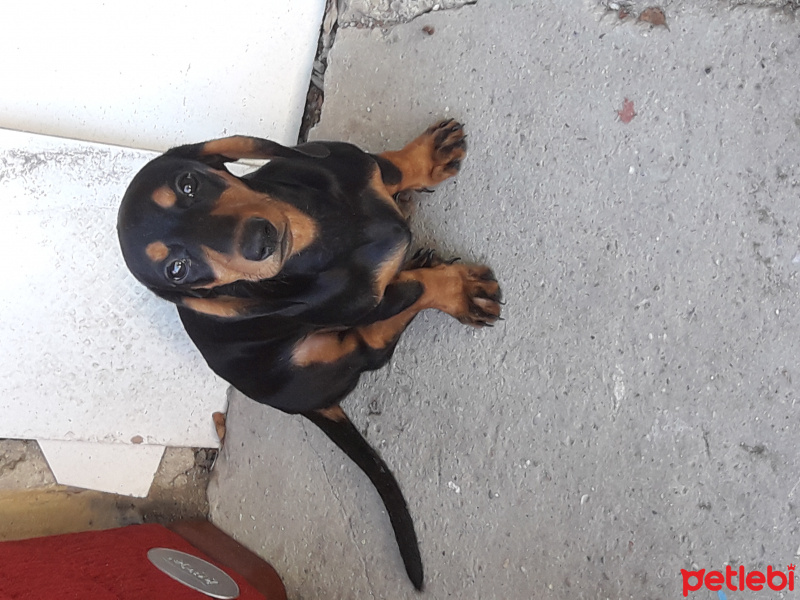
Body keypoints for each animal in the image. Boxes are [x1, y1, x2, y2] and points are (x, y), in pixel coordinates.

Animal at [115, 119, 504, 588]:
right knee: (371, 346)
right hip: (315, 360)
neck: (322, 231)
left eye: (188, 183)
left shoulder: (358, 168)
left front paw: (425, 157)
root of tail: (308, 407)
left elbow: (391, 167)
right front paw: (459, 290)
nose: (259, 240)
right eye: (177, 269)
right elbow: (417, 290)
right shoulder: (375, 299)